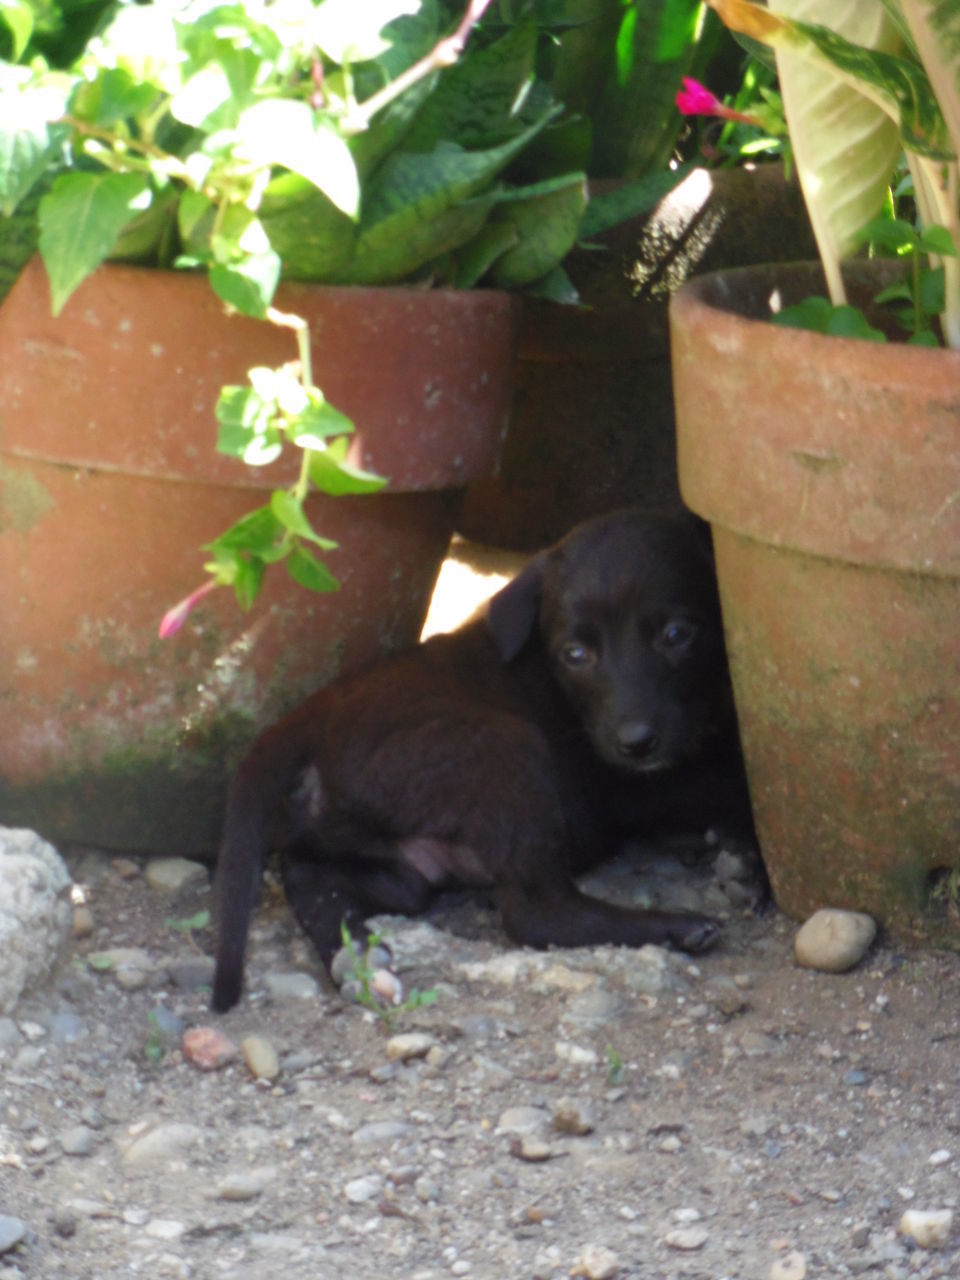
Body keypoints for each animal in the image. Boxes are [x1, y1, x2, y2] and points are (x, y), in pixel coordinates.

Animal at [209, 504, 752, 1013]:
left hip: (393, 862)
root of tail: (310, 719)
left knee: (315, 878)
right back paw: (676, 926)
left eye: (677, 634)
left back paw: (361, 957)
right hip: (506, 752)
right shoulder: (629, 779)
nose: (635, 742)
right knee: (538, 914)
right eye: (575, 654)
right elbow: (720, 781)